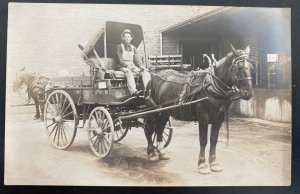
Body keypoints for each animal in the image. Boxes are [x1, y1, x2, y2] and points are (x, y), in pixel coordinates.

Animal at [145, 44, 253, 174]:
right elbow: (203, 140)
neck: (212, 85)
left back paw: (161, 152)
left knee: (160, 128)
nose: (248, 93)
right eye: (239, 67)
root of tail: (154, 77)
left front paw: (214, 163)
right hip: (152, 110)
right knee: (149, 129)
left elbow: (214, 139)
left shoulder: (219, 118)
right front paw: (202, 164)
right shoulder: (203, 117)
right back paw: (151, 153)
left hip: (164, 112)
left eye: (251, 67)